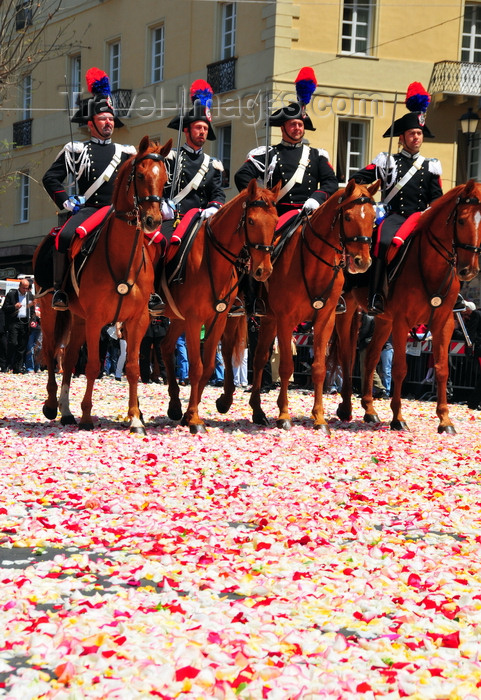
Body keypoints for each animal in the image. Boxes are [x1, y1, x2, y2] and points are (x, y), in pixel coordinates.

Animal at [32, 136, 171, 432]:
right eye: (140, 175)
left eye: (165, 178)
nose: (153, 220)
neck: (122, 259)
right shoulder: (97, 319)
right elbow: (94, 365)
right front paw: (86, 417)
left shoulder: (137, 320)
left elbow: (132, 367)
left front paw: (135, 418)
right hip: (51, 312)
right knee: (51, 353)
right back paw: (52, 406)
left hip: (78, 319)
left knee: (69, 359)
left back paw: (66, 412)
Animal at [159, 178, 280, 432]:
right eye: (251, 220)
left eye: (275, 221)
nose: (263, 271)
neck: (212, 261)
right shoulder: (195, 320)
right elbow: (196, 367)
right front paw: (195, 419)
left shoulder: (218, 318)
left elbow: (207, 368)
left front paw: (190, 415)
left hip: (178, 317)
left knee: (166, 346)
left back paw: (175, 406)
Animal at [219, 179, 380, 432]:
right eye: (348, 217)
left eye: (373, 217)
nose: (361, 261)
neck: (313, 265)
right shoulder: (286, 319)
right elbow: (286, 366)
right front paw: (284, 415)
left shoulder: (325, 319)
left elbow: (319, 368)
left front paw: (320, 418)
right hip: (233, 312)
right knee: (227, 350)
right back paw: (225, 400)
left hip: (269, 319)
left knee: (259, 357)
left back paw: (258, 411)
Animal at [334, 179, 481, 432]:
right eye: (462, 220)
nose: (468, 270)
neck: (430, 265)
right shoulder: (402, 322)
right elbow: (400, 369)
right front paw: (398, 418)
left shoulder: (444, 322)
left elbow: (442, 368)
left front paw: (445, 420)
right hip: (349, 309)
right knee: (346, 355)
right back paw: (345, 408)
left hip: (383, 320)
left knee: (370, 357)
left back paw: (369, 410)